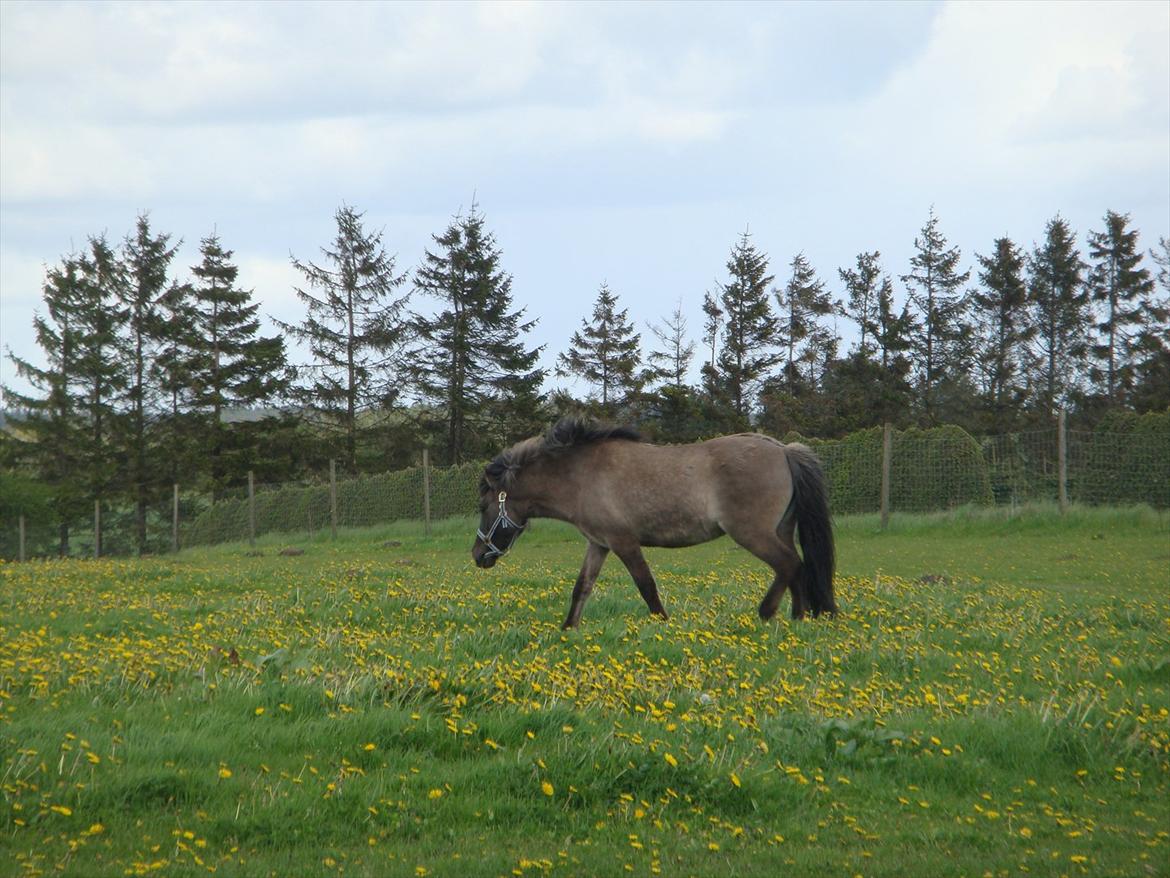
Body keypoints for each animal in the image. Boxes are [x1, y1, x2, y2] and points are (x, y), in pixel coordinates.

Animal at [470, 416, 837, 627]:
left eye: (483, 505)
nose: (477, 555)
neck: (582, 474)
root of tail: (784, 450)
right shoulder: (599, 544)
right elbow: (582, 588)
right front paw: (568, 629)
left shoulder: (624, 542)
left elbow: (646, 585)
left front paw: (663, 623)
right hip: (780, 531)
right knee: (795, 569)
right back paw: (798, 618)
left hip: (752, 533)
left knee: (790, 565)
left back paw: (767, 613)